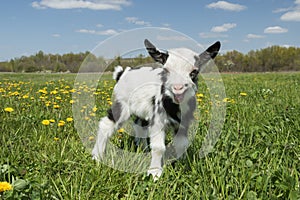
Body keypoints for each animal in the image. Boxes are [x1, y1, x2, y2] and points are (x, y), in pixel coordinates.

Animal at [92, 39, 221, 180]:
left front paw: (182, 164)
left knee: (140, 125)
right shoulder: (158, 119)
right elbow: (159, 147)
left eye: (194, 72)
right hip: (122, 103)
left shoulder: (183, 122)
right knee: (106, 124)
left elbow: (182, 143)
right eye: (166, 70)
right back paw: (97, 157)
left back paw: (143, 150)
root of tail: (122, 73)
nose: (178, 88)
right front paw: (154, 173)